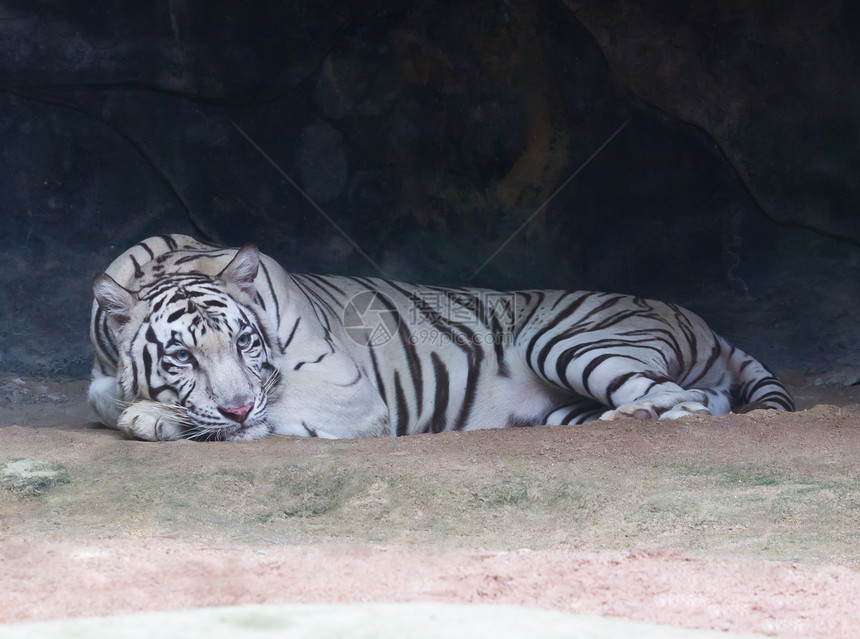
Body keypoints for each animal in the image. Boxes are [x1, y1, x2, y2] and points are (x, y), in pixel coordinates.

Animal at [87, 234, 792, 440]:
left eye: (246, 344)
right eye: (181, 356)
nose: (235, 407)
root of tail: (702, 320)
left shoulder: (346, 393)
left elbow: (273, 411)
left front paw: (153, 417)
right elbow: (103, 395)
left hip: (569, 342)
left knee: (685, 401)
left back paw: (634, 417)